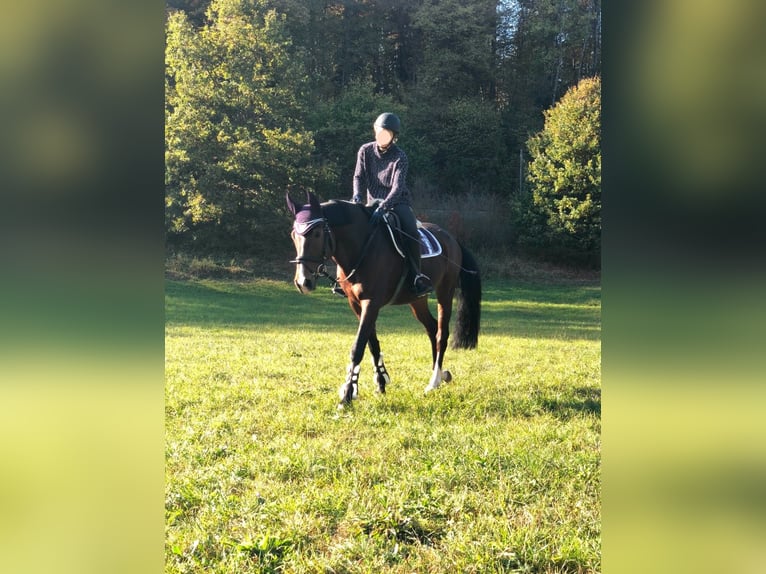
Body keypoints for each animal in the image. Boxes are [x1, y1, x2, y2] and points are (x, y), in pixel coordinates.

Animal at [288, 191, 480, 408]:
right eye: (294, 235)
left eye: (317, 234)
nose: (303, 282)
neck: (362, 248)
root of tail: (452, 239)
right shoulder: (356, 304)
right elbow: (371, 343)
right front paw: (377, 383)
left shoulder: (371, 303)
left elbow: (358, 346)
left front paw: (346, 397)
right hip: (417, 299)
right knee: (431, 328)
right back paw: (439, 375)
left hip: (445, 292)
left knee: (441, 333)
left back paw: (434, 381)